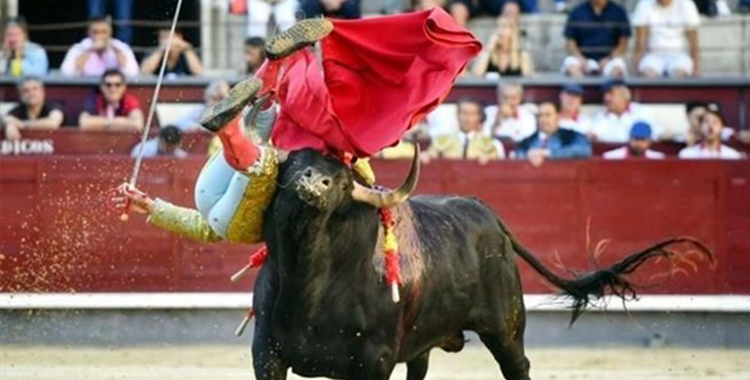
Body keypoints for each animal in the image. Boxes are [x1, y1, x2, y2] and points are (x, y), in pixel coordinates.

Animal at [251, 149, 712, 380]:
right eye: (294, 163)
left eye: (345, 182)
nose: (314, 181)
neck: (310, 280)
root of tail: (487, 211)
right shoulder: (267, 356)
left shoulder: (372, 361)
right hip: (423, 341)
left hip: (506, 328)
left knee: (518, 367)